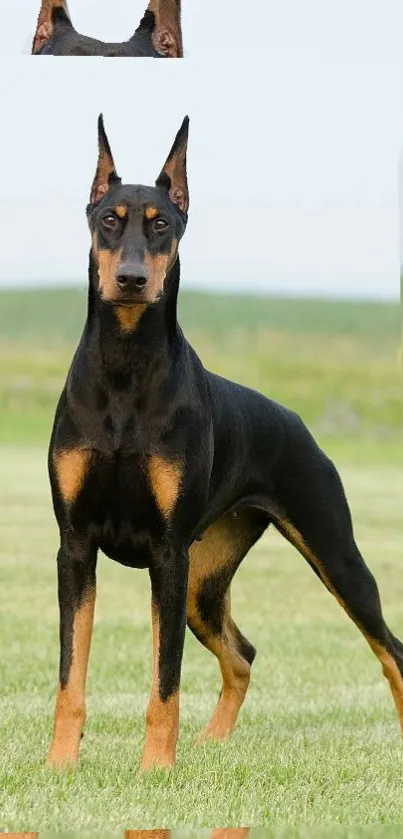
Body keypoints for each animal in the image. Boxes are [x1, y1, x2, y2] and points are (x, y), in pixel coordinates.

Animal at [48, 115, 403, 772]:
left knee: (391, 647)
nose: (131, 280)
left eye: (161, 223)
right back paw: (210, 743)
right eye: (109, 218)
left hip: (331, 553)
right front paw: (61, 765)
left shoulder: (166, 554)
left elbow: (165, 681)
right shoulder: (75, 546)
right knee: (243, 654)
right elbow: (70, 674)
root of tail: (299, 423)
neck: (125, 369)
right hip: (203, 584)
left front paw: (155, 770)